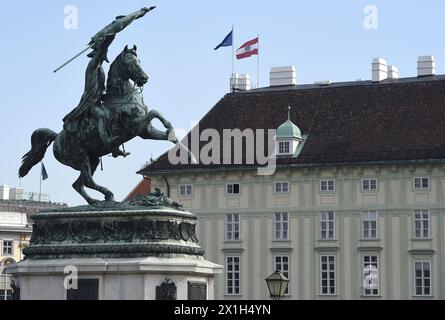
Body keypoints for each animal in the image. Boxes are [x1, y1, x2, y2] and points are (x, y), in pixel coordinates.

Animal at [19, 45, 184, 205]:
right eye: (130, 63)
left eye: (139, 61)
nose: (144, 78)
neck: (122, 96)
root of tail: (56, 138)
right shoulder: (133, 126)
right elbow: (154, 112)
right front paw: (169, 128)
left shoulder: (145, 131)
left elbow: (159, 122)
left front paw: (177, 140)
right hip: (80, 158)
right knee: (88, 181)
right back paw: (108, 195)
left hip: (93, 159)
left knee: (79, 184)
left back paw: (94, 201)